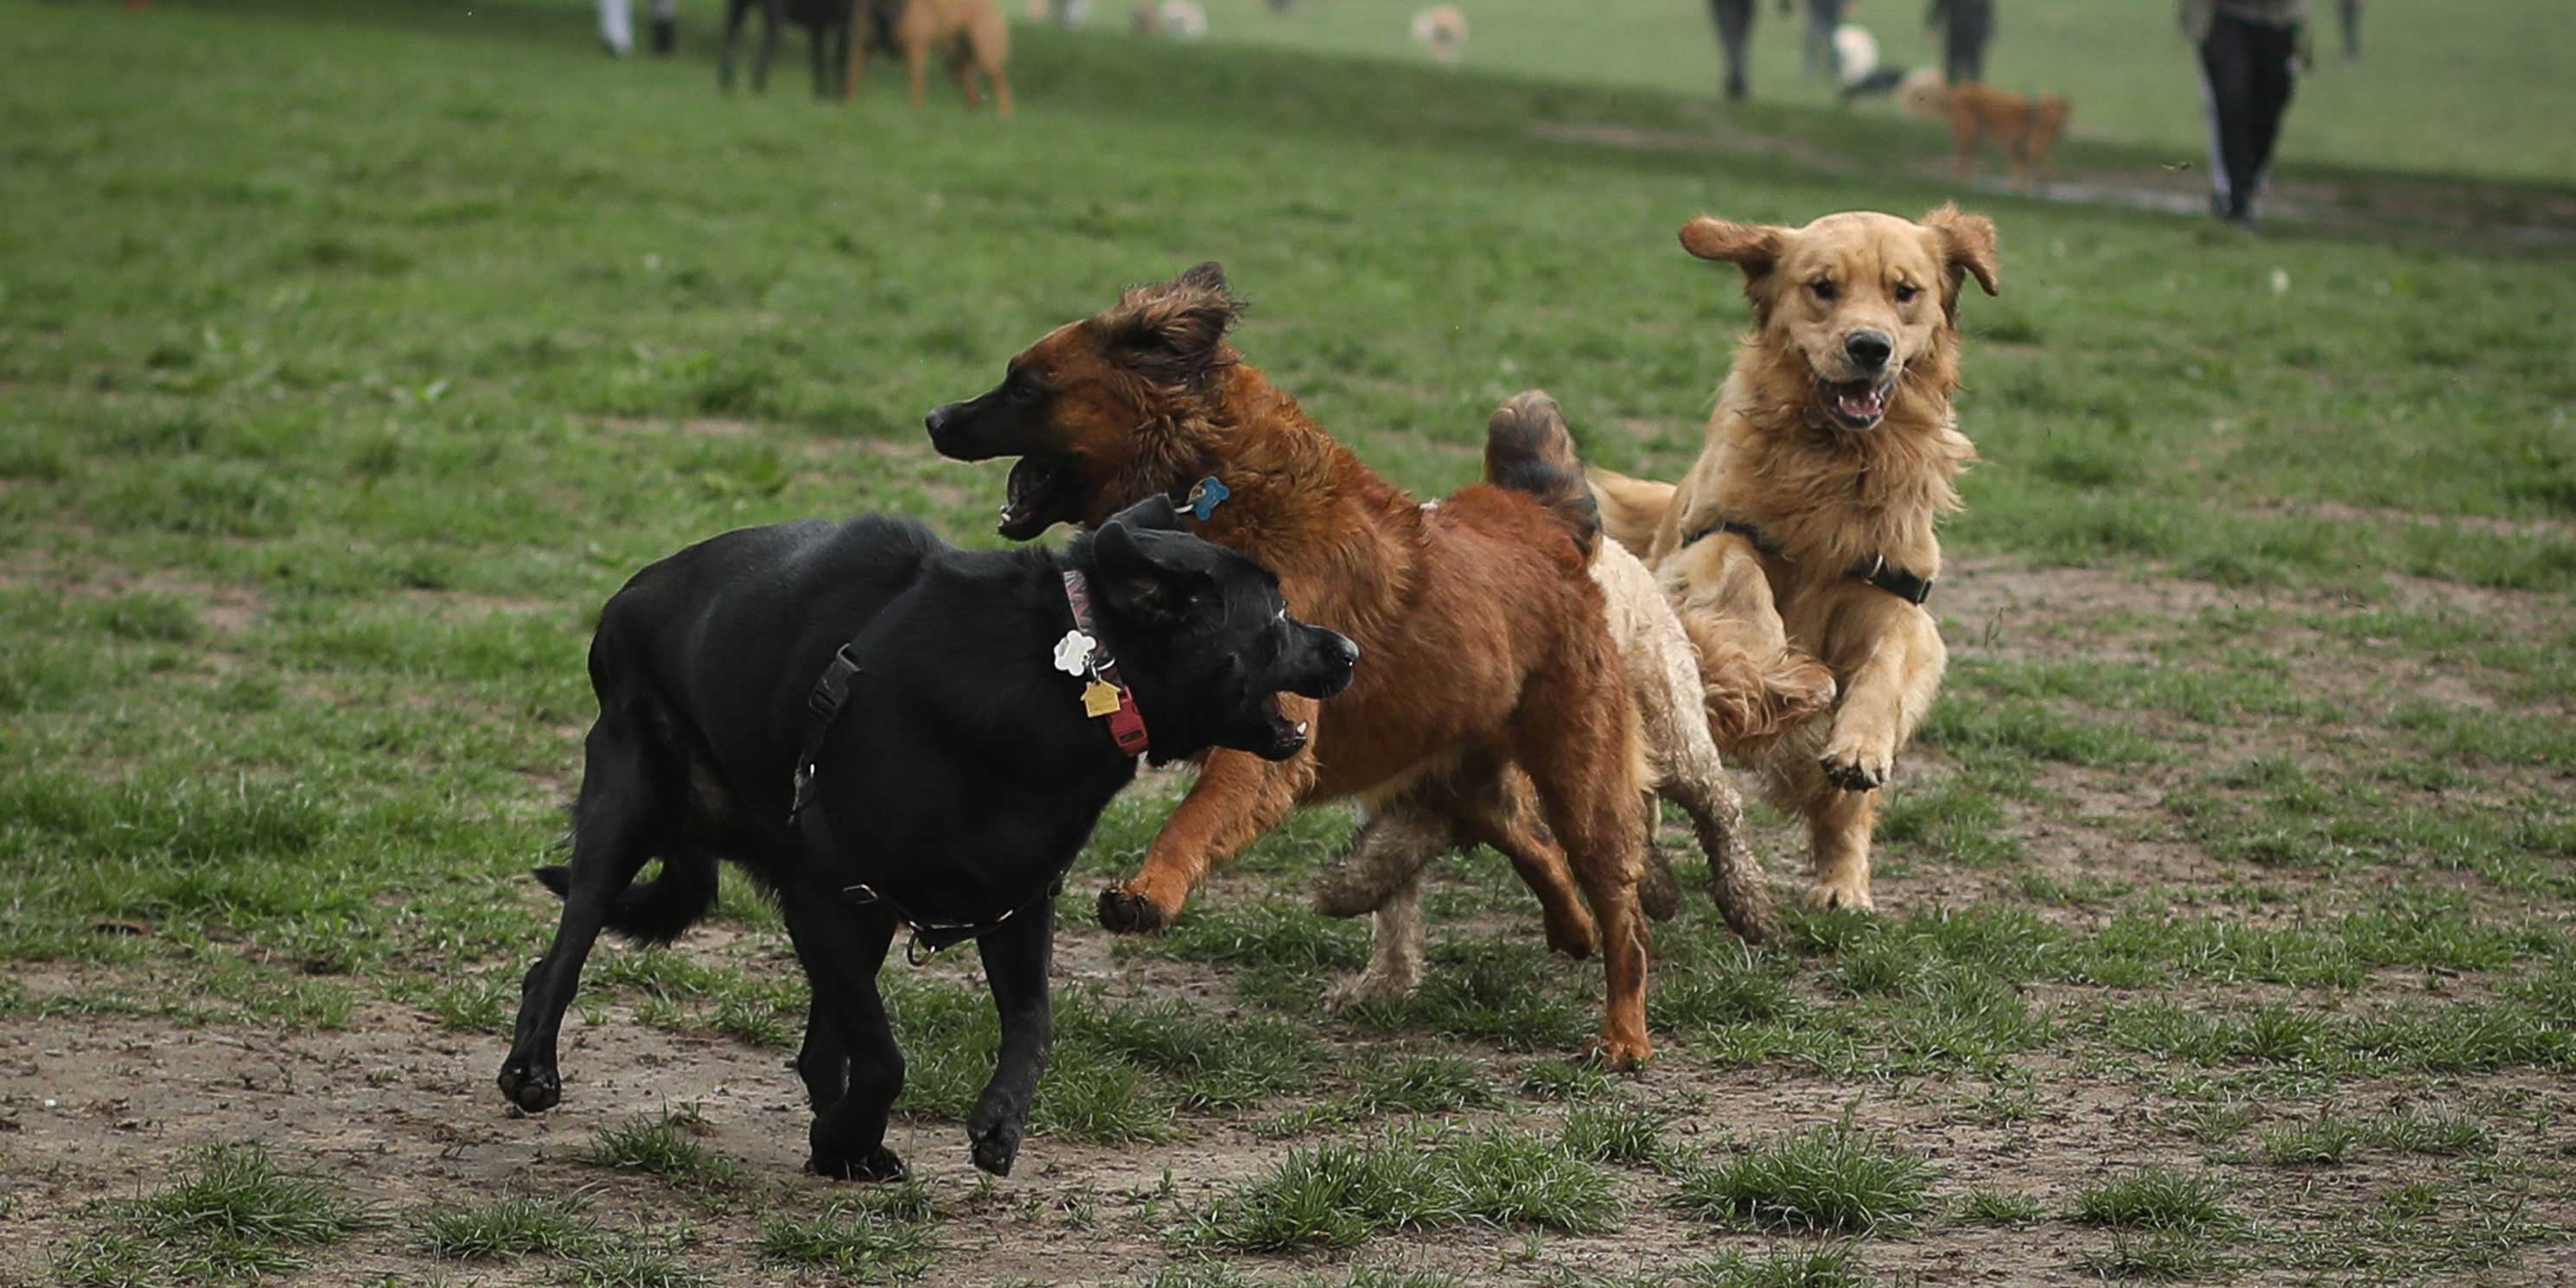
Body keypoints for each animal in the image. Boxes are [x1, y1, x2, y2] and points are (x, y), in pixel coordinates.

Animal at [489, 497, 1360, 1179]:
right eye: (1277, 617)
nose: (1351, 651)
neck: (1066, 678)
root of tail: (632, 592)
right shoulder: (822, 896)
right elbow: (883, 1056)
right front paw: (845, 1133)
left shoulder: (1015, 899)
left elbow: (1032, 1023)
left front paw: (989, 1124)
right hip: (627, 806)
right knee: (564, 950)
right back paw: (533, 1067)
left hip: (858, 908)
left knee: (817, 1043)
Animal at [721, 0, 860, 96]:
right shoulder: (844, 24)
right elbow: (839, 64)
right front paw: (837, 98)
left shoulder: (818, 28)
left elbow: (819, 65)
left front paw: (821, 96)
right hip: (775, 16)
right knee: (763, 53)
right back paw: (759, 90)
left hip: (738, 8)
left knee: (729, 42)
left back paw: (727, 85)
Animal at [845, 0, 1004, 114]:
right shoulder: (863, 48)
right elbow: (852, 77)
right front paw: (850, 104)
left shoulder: (916, 50)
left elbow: (916, 87)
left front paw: (915, 111)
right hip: (955, 64)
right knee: (973, 94)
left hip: (987, 55)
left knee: (1002, 88)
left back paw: (1003, 118)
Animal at [921, 264, 1648, 1066]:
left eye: (1025, 387)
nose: (933, 419)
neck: (1208, 484)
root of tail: (1539, 526)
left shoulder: (1270, 734)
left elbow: (1197, 815)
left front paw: (1149, 891)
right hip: (1466, 772)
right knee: (1532, 840)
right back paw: (1571, 930)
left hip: (1581, 775)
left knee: (1623, 913)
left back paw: (1624, 1033)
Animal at [1586, 206, 1988, 911]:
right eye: (1822, 287)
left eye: (1904, 292)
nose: (1869, 347)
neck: (1836, 459)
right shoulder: (1708, 542)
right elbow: (1744, 575)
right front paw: (1774, 664)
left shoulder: (1897, 594)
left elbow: (1887, 665)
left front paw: (1859, 745)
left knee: (1845, 814)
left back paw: (1842, 885)